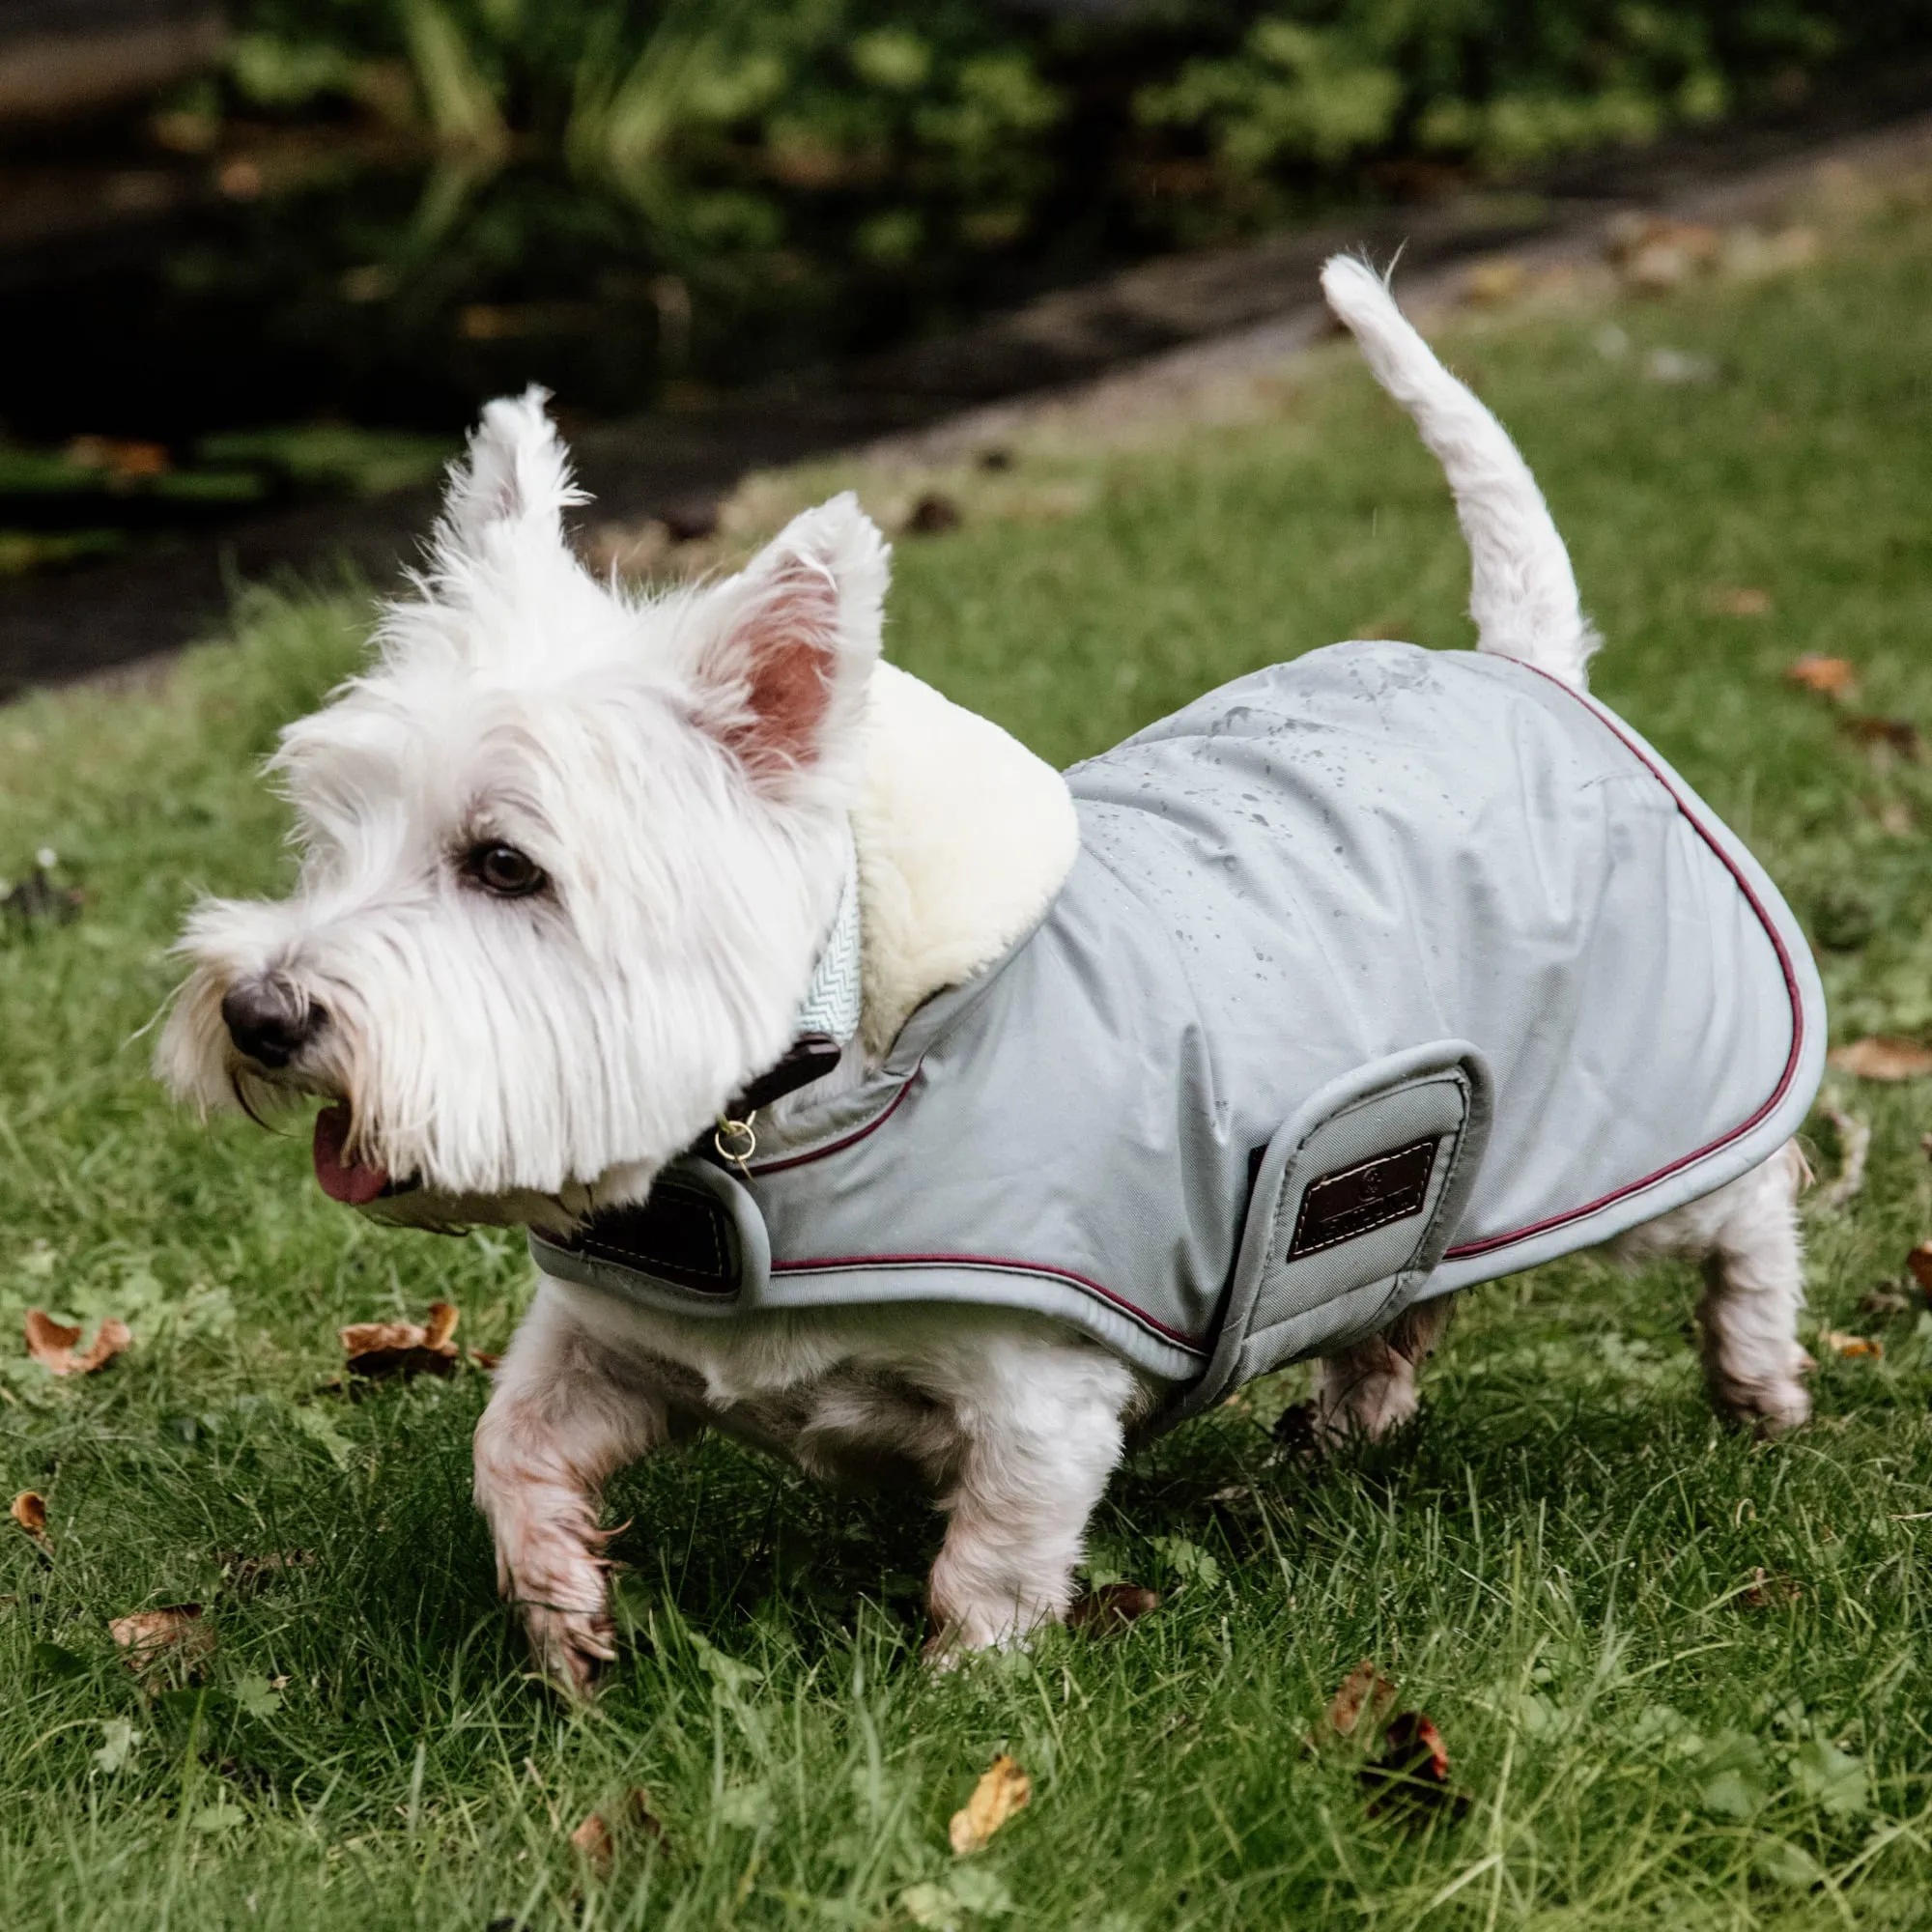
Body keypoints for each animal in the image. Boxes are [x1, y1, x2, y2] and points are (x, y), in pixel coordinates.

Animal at [158, 261, 1816, 1692]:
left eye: (506, 866)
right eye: (327, 831)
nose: (259, 1014)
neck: (799, 1095)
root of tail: (1529, 667)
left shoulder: (1042, 1391)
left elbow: (998, 1556)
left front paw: (966, 1699)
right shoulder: (624, 1340)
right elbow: (511, 1443)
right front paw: (568, 1618)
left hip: (1640, 1116)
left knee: (1747, 1215)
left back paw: (1764, 1387)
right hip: (1435, 1152)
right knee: (1401, 1272)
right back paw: (1360, 1402)